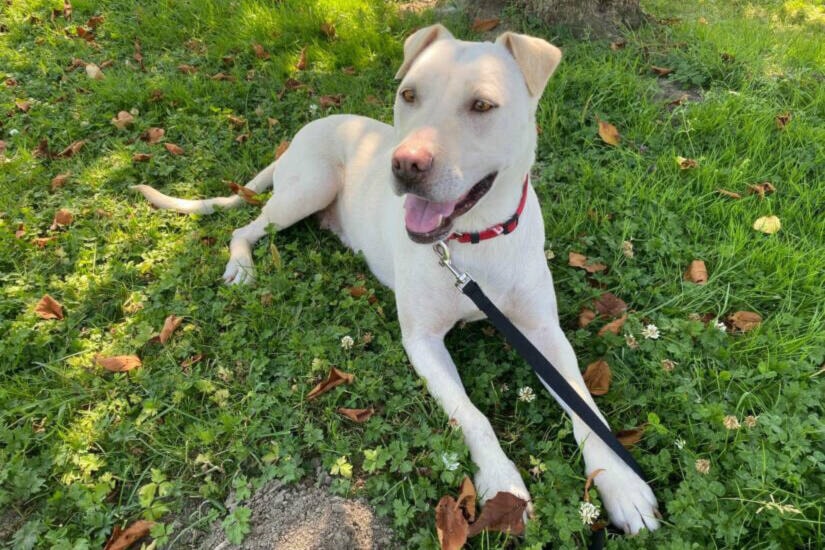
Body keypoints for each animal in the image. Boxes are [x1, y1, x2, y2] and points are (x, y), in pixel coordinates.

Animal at [137, 24, 664, 536]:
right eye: (409, 95)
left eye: (482, 105)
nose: (406, 163)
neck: (472, 241)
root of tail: (305, 131)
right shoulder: (423, 341)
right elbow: (472, 416)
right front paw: (503, 488)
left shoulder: (542, 333)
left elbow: (585, 407)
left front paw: (622, 485)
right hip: (306, 190)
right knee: (242, 228)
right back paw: (242, 264)